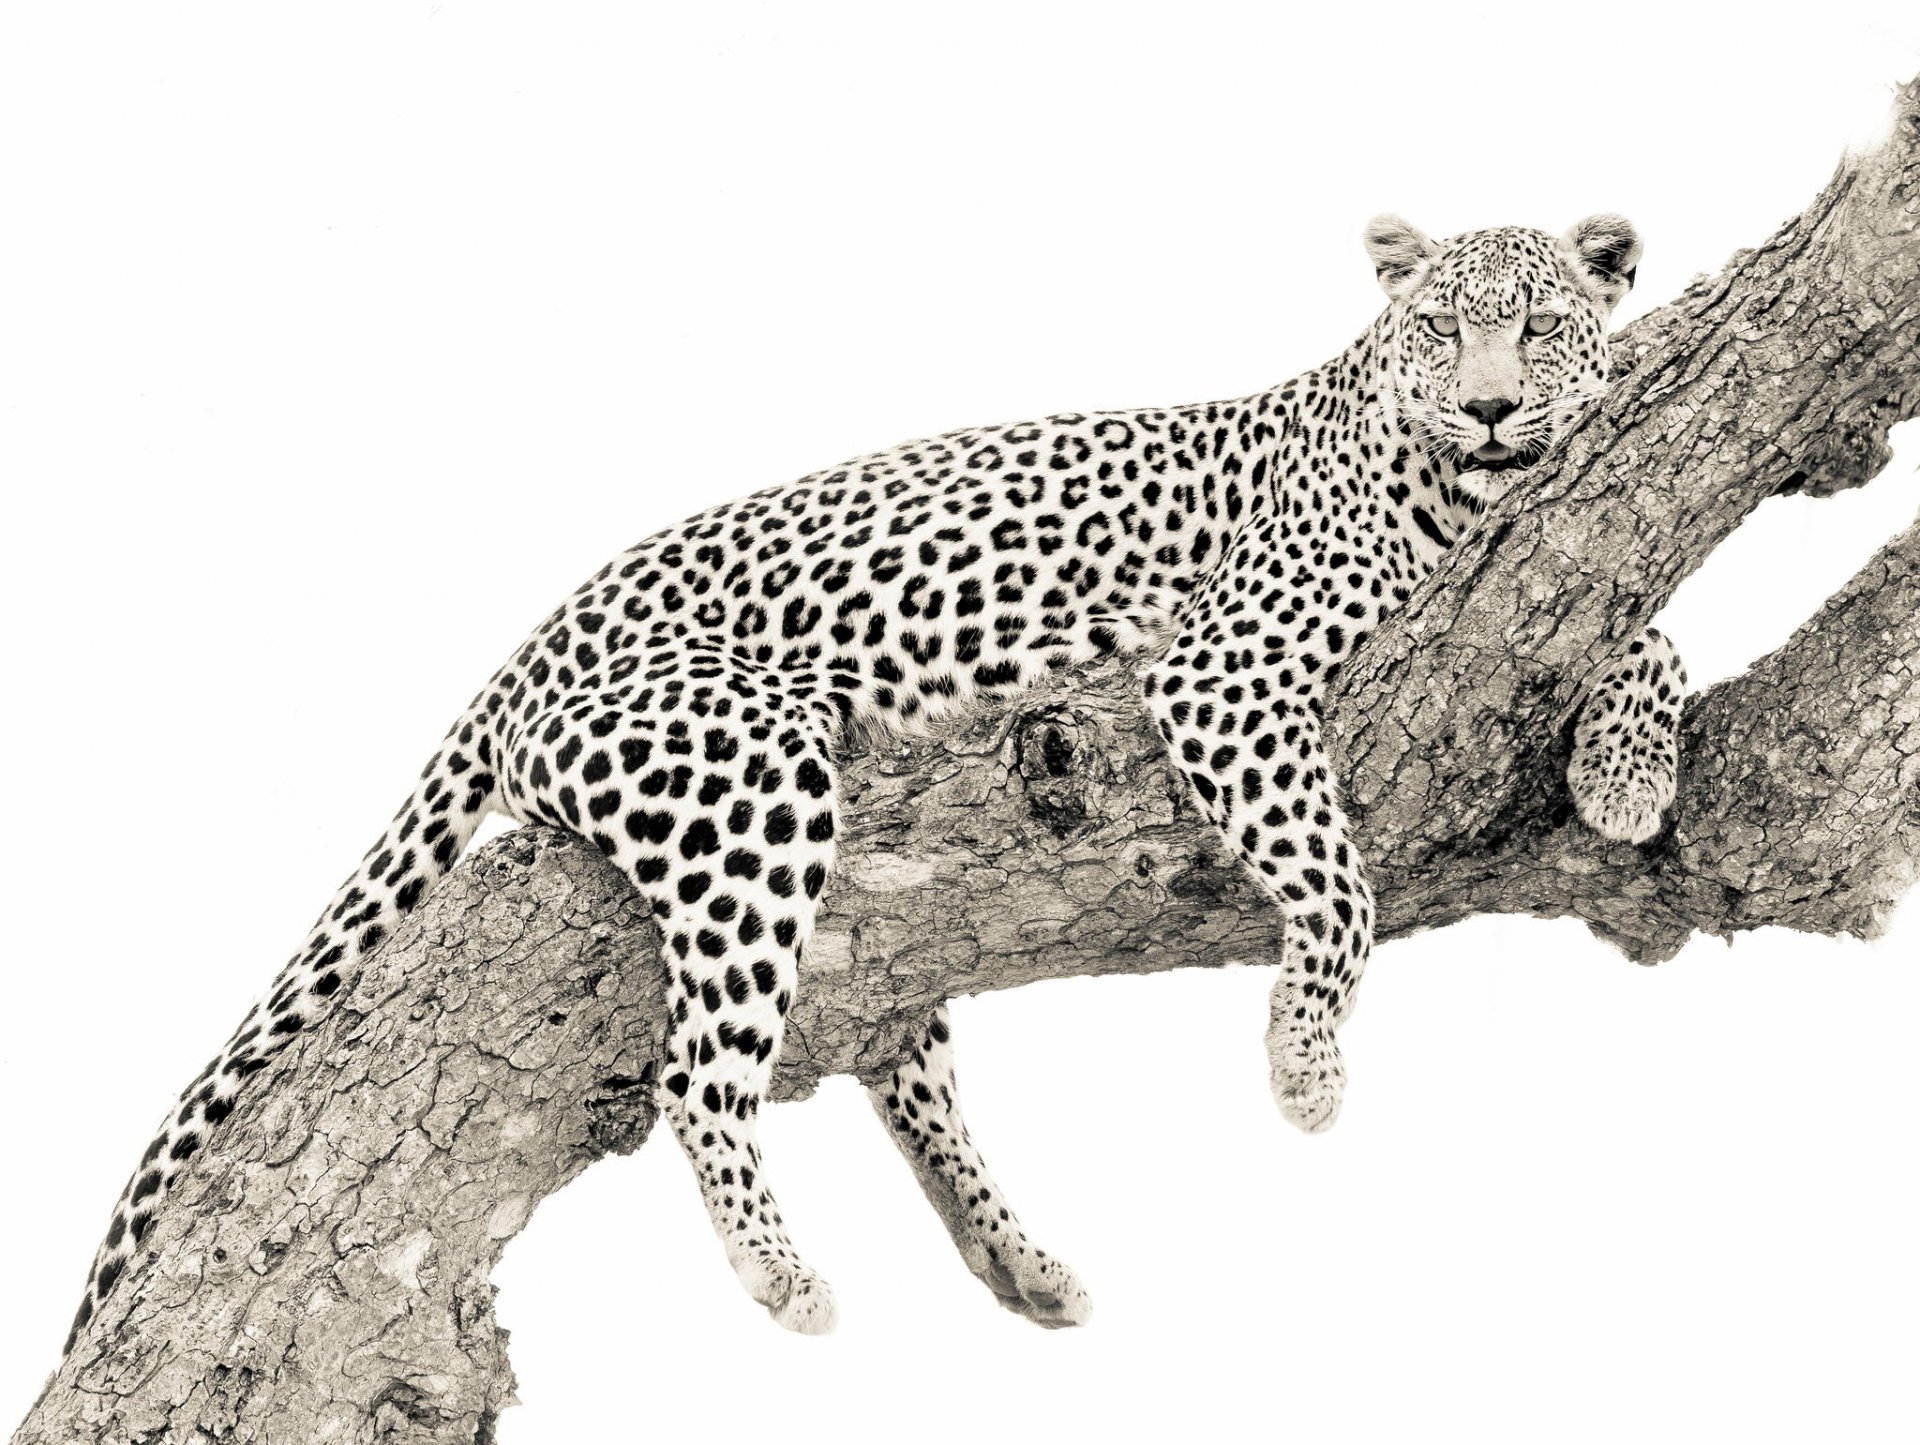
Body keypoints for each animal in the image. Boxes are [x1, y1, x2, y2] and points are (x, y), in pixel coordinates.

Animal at [62, 212, 1685, 1351]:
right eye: (1443, 330)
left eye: (1541, 330)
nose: (1489, 408)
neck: (1452, 485)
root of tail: (530, 643)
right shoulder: (1223, 666)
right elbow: (1337, 884)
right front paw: (1305, 1061)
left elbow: (1646, 624)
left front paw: (1625, 773)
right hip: (748, 774)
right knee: (701, 1070)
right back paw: (785, 1274)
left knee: (899, 1056)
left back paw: (1015, 1256)